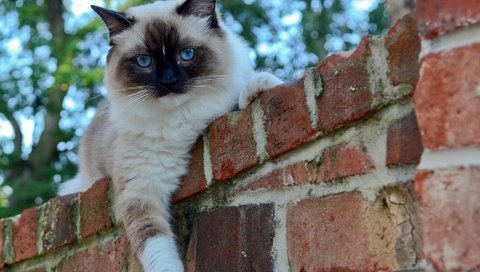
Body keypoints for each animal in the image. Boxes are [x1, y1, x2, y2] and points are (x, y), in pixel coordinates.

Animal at [58, 0, 282, 272]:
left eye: (186, 54)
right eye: (144, 61)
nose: (169, 81)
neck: (181, 120)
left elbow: (238, 100)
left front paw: (261, 85)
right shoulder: (141, 191)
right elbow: (156, 247)